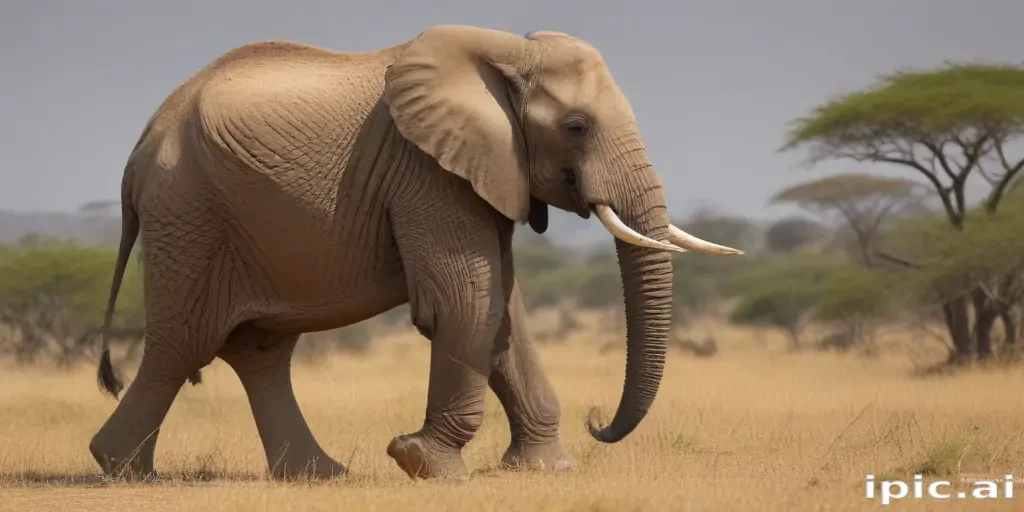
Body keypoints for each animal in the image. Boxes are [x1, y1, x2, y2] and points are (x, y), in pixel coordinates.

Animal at [88, 25, 743, 482]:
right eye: (577, 126)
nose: (597, 420)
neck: (505, 52)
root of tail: (138, 151)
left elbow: (503, 311)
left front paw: (544, 469)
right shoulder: (425, 171)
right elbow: (467, 301)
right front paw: (421, 464)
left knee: (260, 352)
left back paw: (317, 476)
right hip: (189, 215)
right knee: (183, 343)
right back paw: (124, 471)